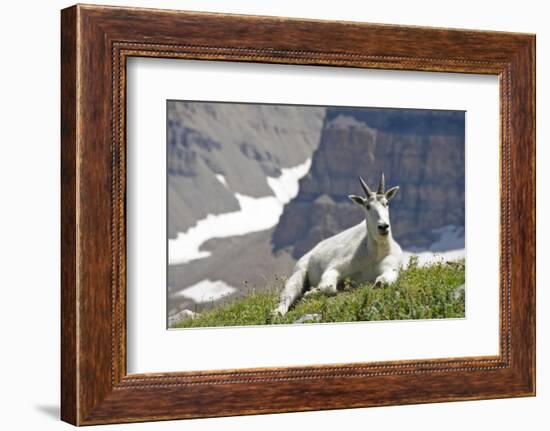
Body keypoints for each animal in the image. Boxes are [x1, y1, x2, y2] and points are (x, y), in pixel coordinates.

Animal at [274, 173, 404, 318]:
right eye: (367, 206)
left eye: (386, 203)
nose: (383, 227)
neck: (375, 251)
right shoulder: (336, 267)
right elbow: (329, 286)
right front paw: (311, 292)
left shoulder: (391, 266)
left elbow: (383, 281)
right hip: (300, 271)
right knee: (287, 295)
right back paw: (277, 312)